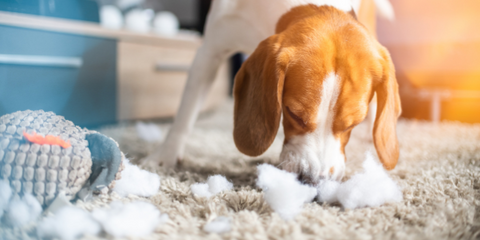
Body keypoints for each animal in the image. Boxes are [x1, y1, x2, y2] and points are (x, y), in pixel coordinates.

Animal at [143, 0, 402, 184]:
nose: (314, 182)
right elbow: (185, 113)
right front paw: (164, 156)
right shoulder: (209, 51)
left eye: (352, 124)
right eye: (293, 114)